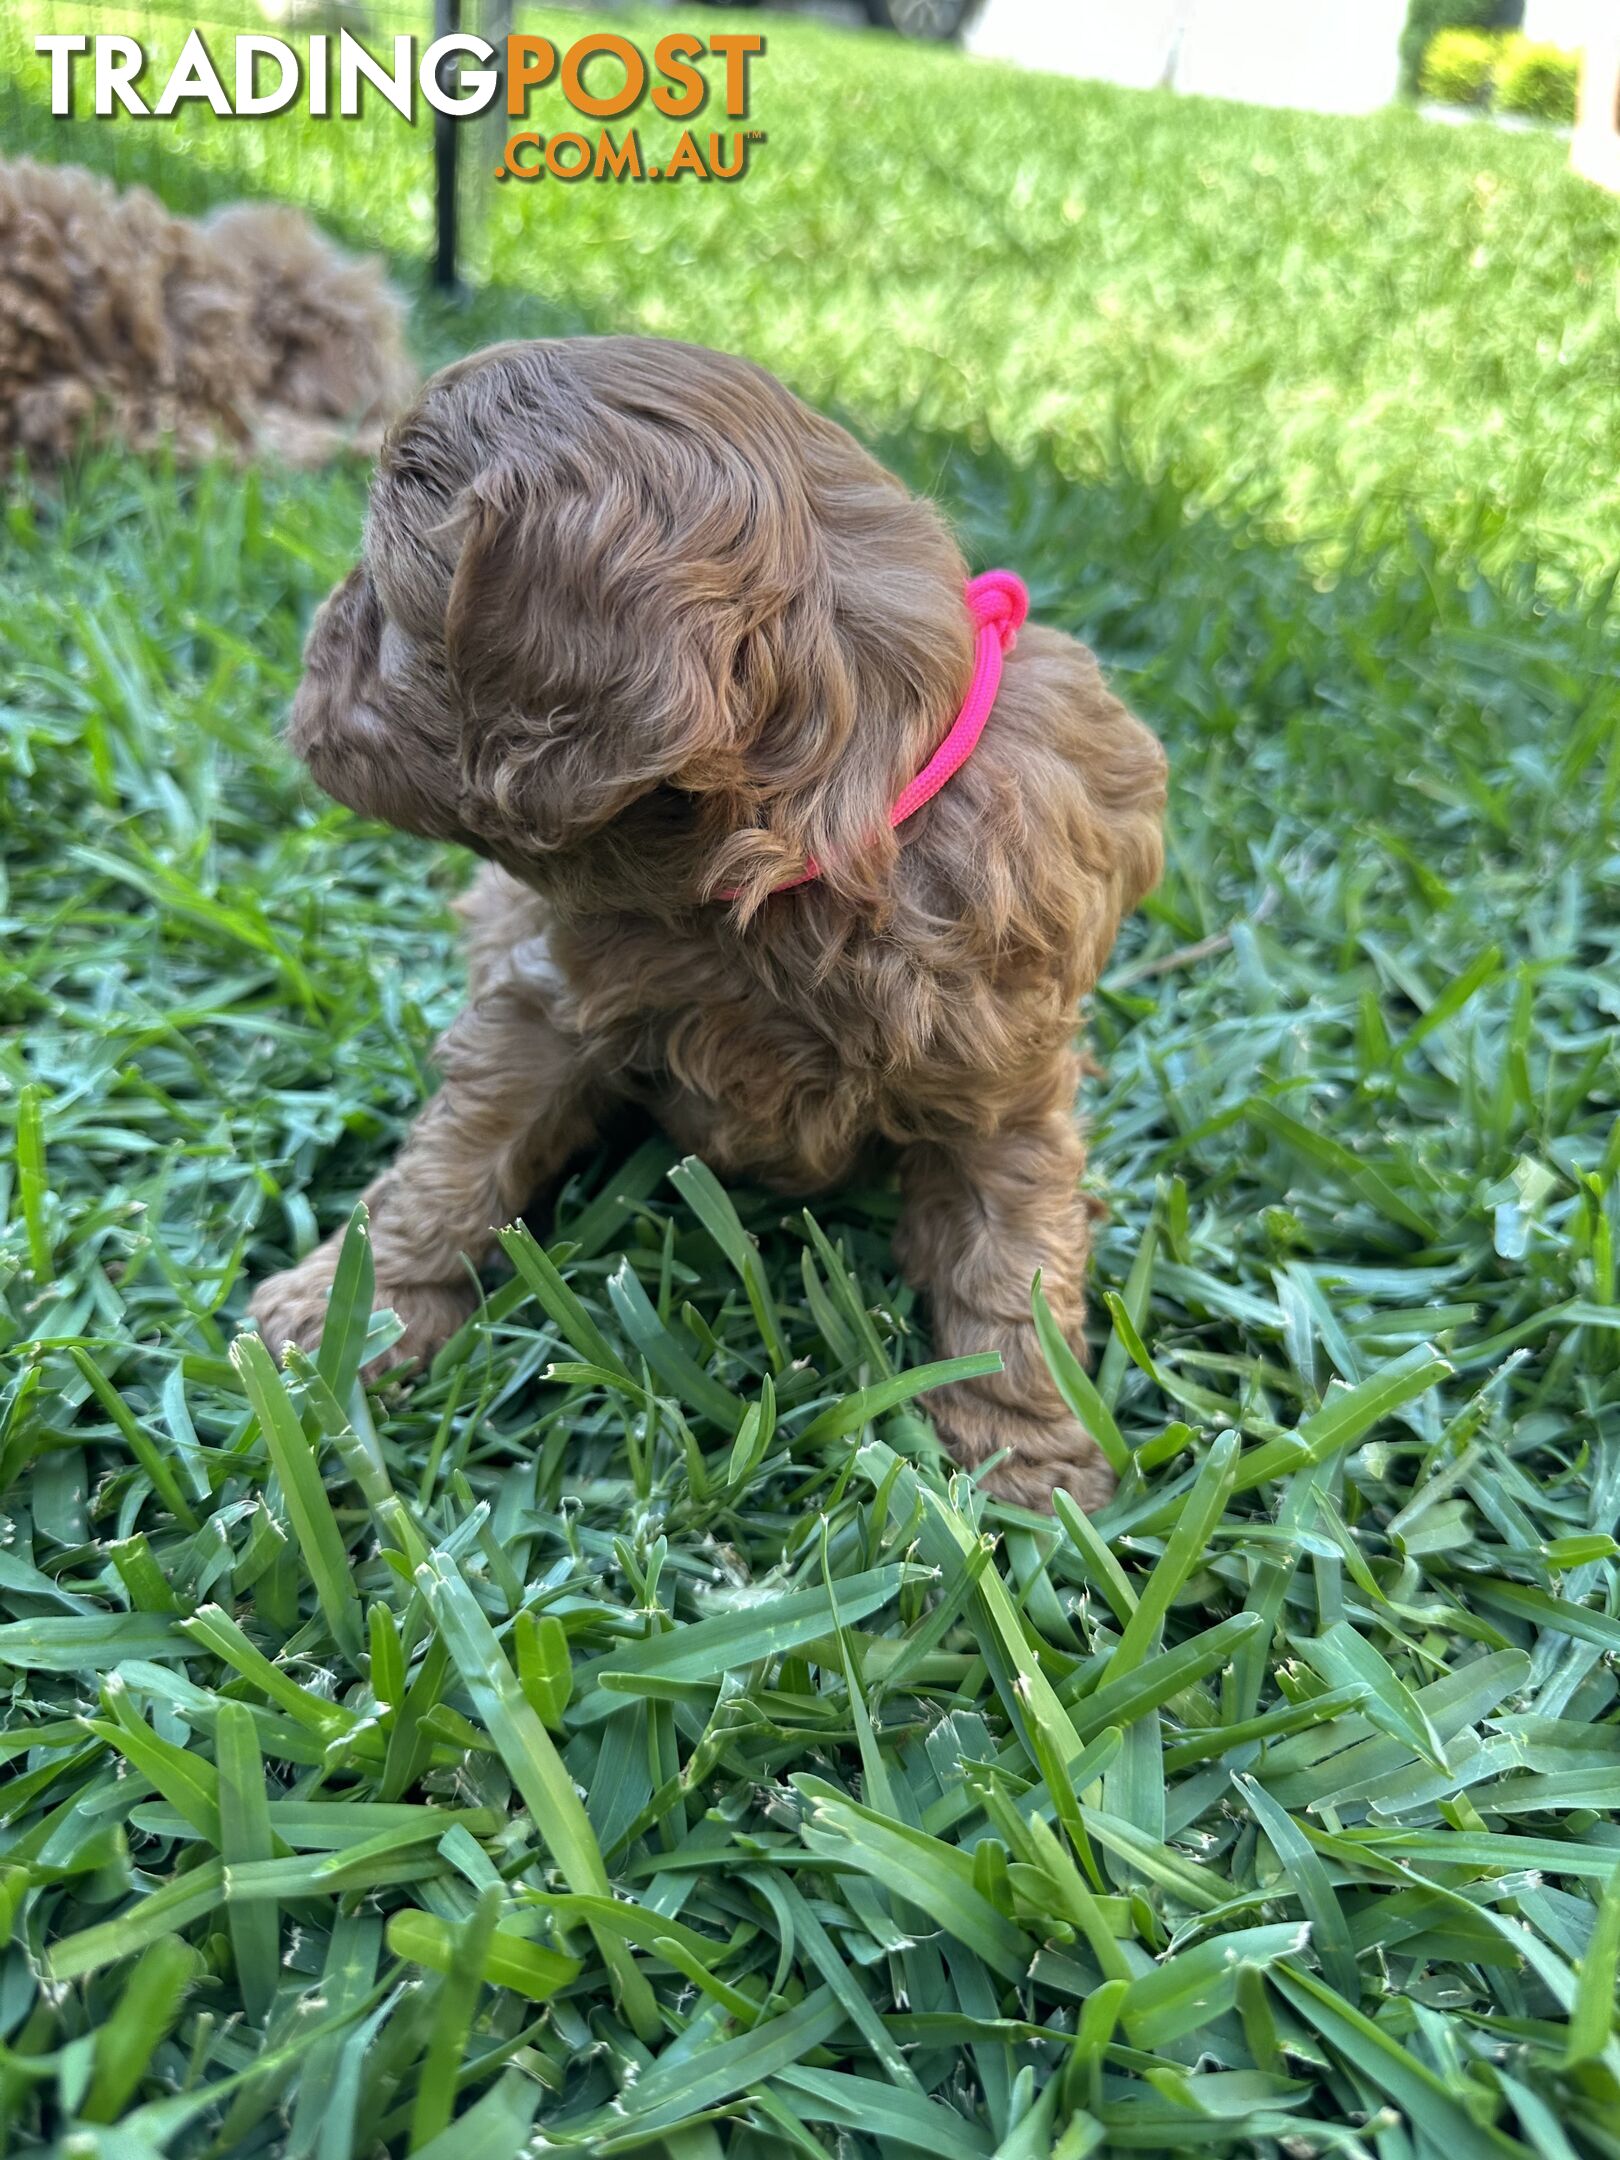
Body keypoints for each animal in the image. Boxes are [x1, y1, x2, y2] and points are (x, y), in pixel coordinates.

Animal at [250, 341, 1166, 1520]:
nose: (311, 643)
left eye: (382, 602)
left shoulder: (1004, 1076)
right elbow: (455, 1157)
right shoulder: (545, 996)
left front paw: (1030, 1454)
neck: (789, 863)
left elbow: (1013, 1256)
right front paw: (349, 1313)